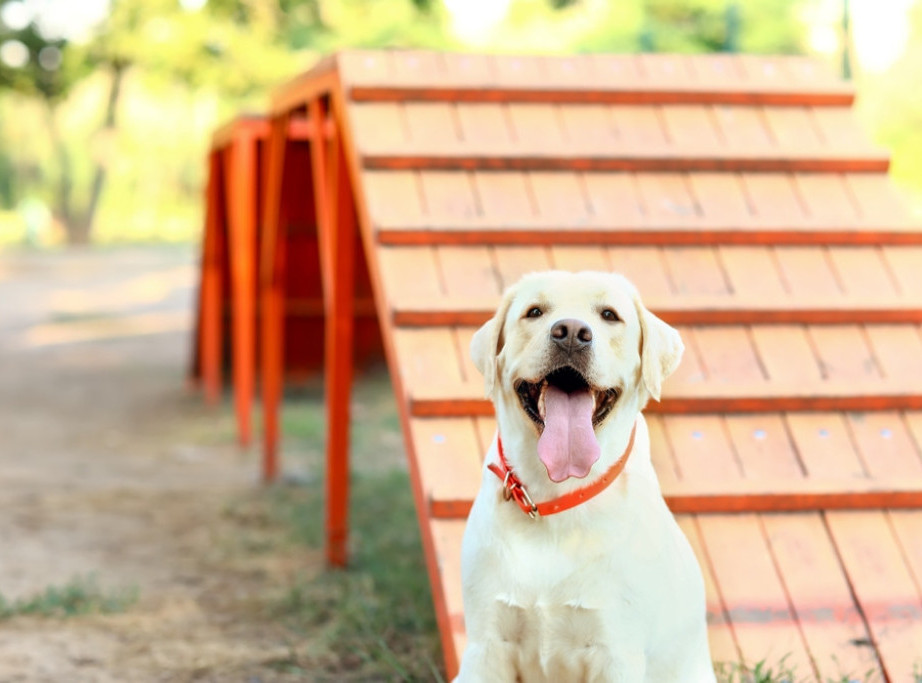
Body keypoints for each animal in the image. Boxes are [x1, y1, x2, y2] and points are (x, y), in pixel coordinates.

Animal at [456, 272, 716, 683]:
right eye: (534, 312)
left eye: (609, 315)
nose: (572, 333)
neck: (555, 498)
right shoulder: (487, 644)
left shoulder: (616, 651)